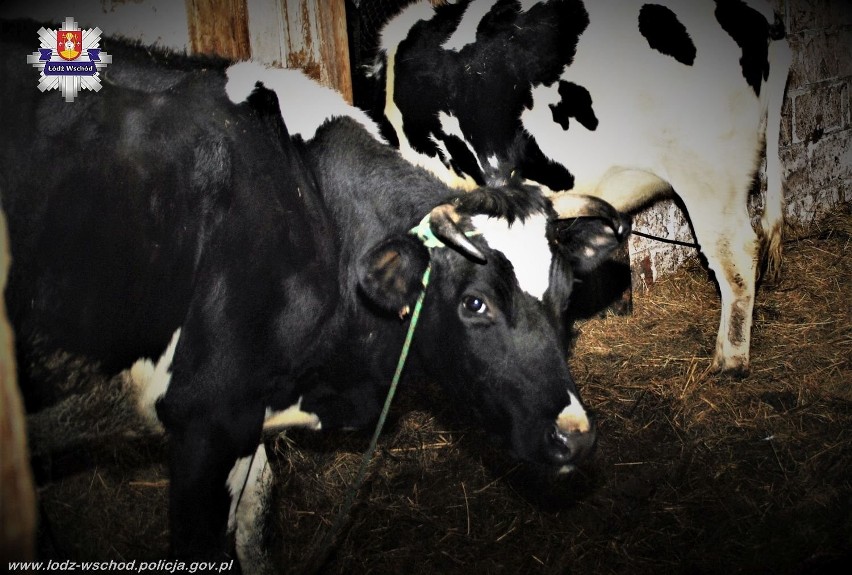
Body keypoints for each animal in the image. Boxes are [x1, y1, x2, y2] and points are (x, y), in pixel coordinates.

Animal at [0, 19, 624, 568]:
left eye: (567, 296)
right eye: (475, 304)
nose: (576, 438)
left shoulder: (246, 416)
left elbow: (254, 532)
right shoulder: (205, 418)